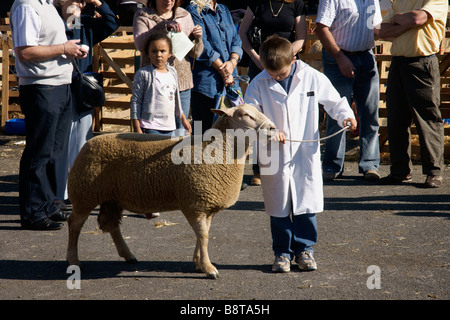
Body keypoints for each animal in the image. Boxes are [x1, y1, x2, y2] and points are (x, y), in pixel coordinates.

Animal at [65, 104, 276, 278]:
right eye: (245, 115)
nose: (273, 128)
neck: (215, 150)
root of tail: (89, 142)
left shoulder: (206, 205)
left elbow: (204, 234)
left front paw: (199, 263)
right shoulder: (195, 203)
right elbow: (203, 236)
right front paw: (209, 269)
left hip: (112, 198)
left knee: (112, 226)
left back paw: (129, 255)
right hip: (84, 193)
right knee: (74, 224)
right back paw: (73, 260)